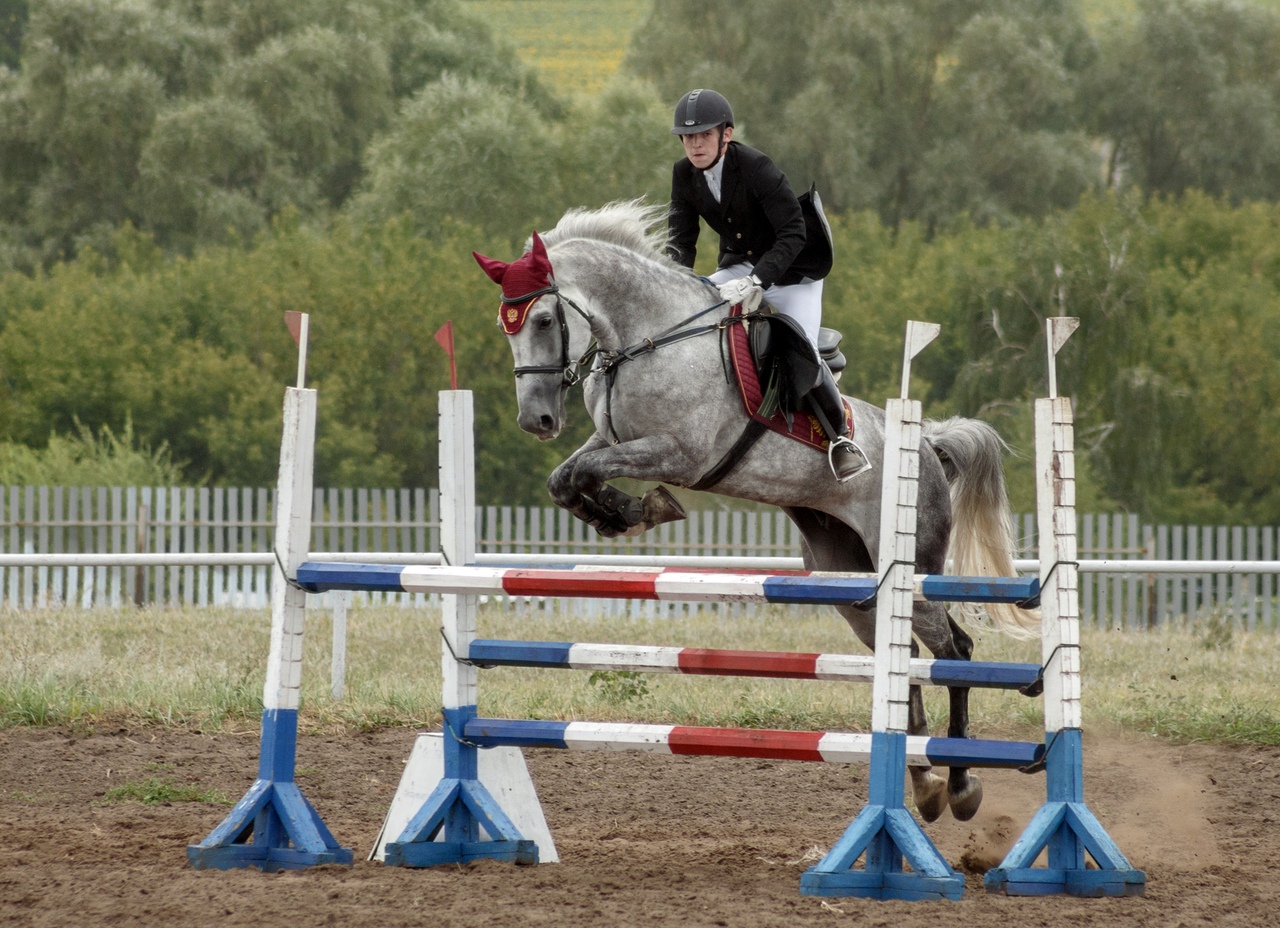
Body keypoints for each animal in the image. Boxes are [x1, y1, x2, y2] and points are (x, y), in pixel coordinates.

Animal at [473, 197, 1039, 819]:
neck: (649, 338)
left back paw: (960, 785)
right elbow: (565, 478)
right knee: (906, 655)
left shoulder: (680, 453)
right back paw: (924, 782)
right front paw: (619, 512)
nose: (537, 420)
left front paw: (641, 508)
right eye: (505, 329)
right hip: (853, 582)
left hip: (911, 570)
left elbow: (585, 472)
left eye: (544, 321)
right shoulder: (612, 439)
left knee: (953, 650)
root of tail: (931, 446)